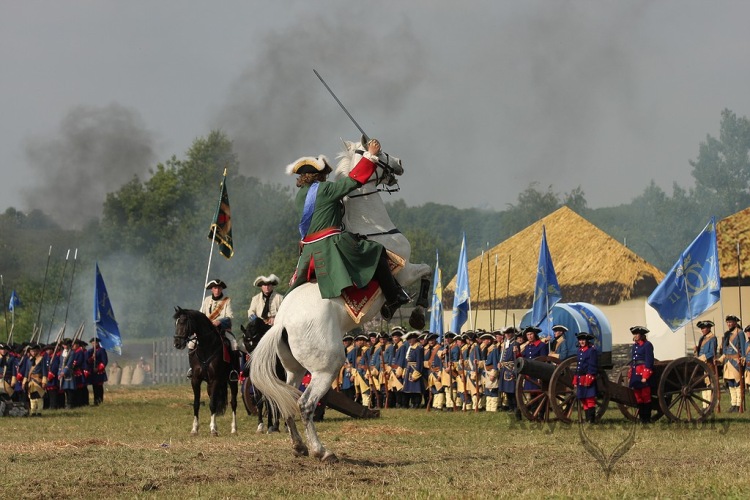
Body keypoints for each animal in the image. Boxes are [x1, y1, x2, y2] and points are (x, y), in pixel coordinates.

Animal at [173, 306, 238, 436]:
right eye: (176, 323)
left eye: (183, 321)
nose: (177, 343)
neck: (206, 348)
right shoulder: (195, 380)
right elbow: (196, 404)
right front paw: (194, 429)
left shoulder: (215, 380)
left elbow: (212, 404)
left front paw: (213, 429)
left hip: (232, 381)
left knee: (233, 403)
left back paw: (234, 429)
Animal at [251, 139, 432, 462]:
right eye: (382, 153)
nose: (399, 163)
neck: (373, 226)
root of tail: (281, 322)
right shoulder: (405, 269)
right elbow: (426, 272)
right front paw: (415, 313)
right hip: (326, 367)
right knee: (305, 404)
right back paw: (321, 451)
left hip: (295, 369)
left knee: (288, 400)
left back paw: (299, 446)